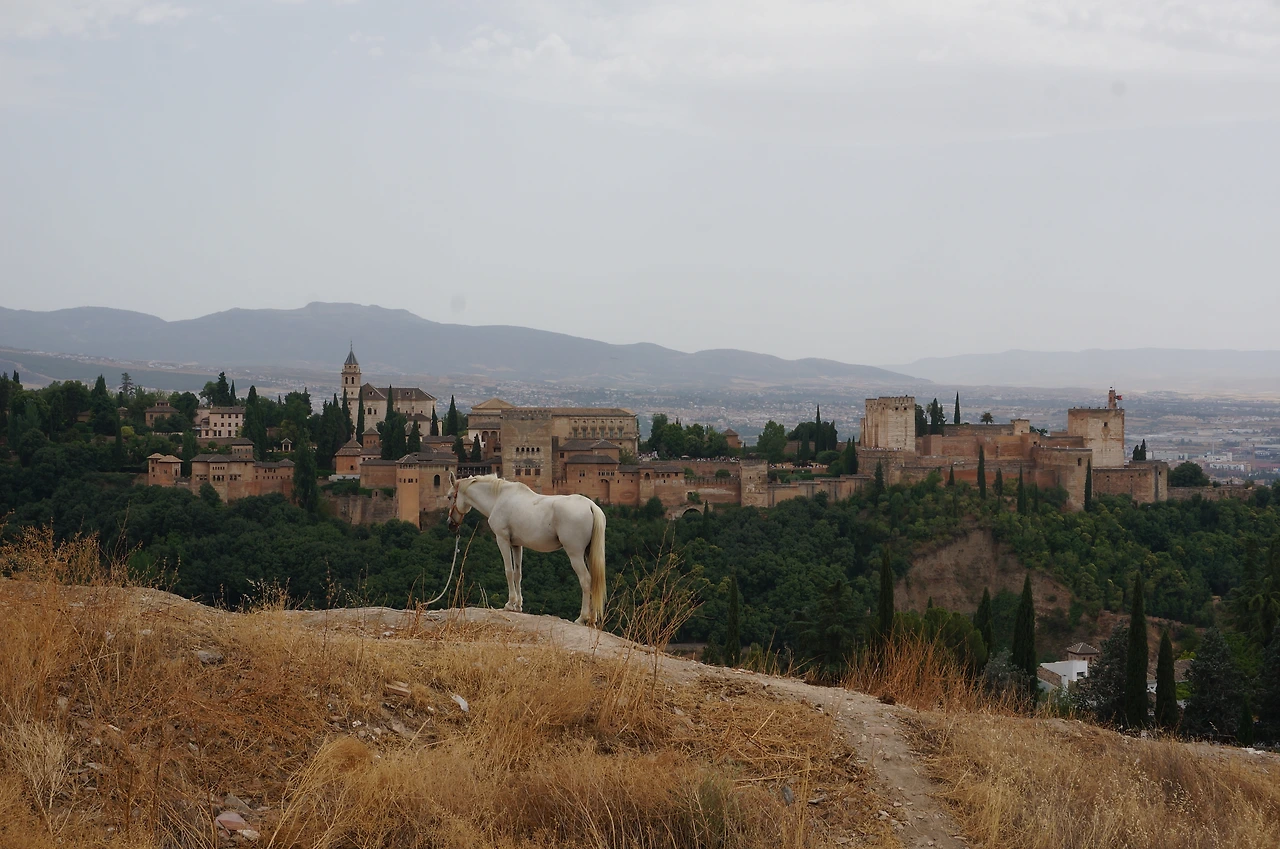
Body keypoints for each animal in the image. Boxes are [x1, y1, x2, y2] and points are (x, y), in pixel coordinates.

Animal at [446, 473, 607, 626]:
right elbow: (518, 573)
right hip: (587, 554)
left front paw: (509, 604)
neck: (498, 498)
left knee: (585, 580)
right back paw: (592, 619)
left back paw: (582, 618)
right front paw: (518, 605)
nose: (450, 525)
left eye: (449, 496)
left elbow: (509, 571)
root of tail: (590, 506)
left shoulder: (502, 540)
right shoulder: (517, 545)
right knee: (593, 580)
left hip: (575, 554)